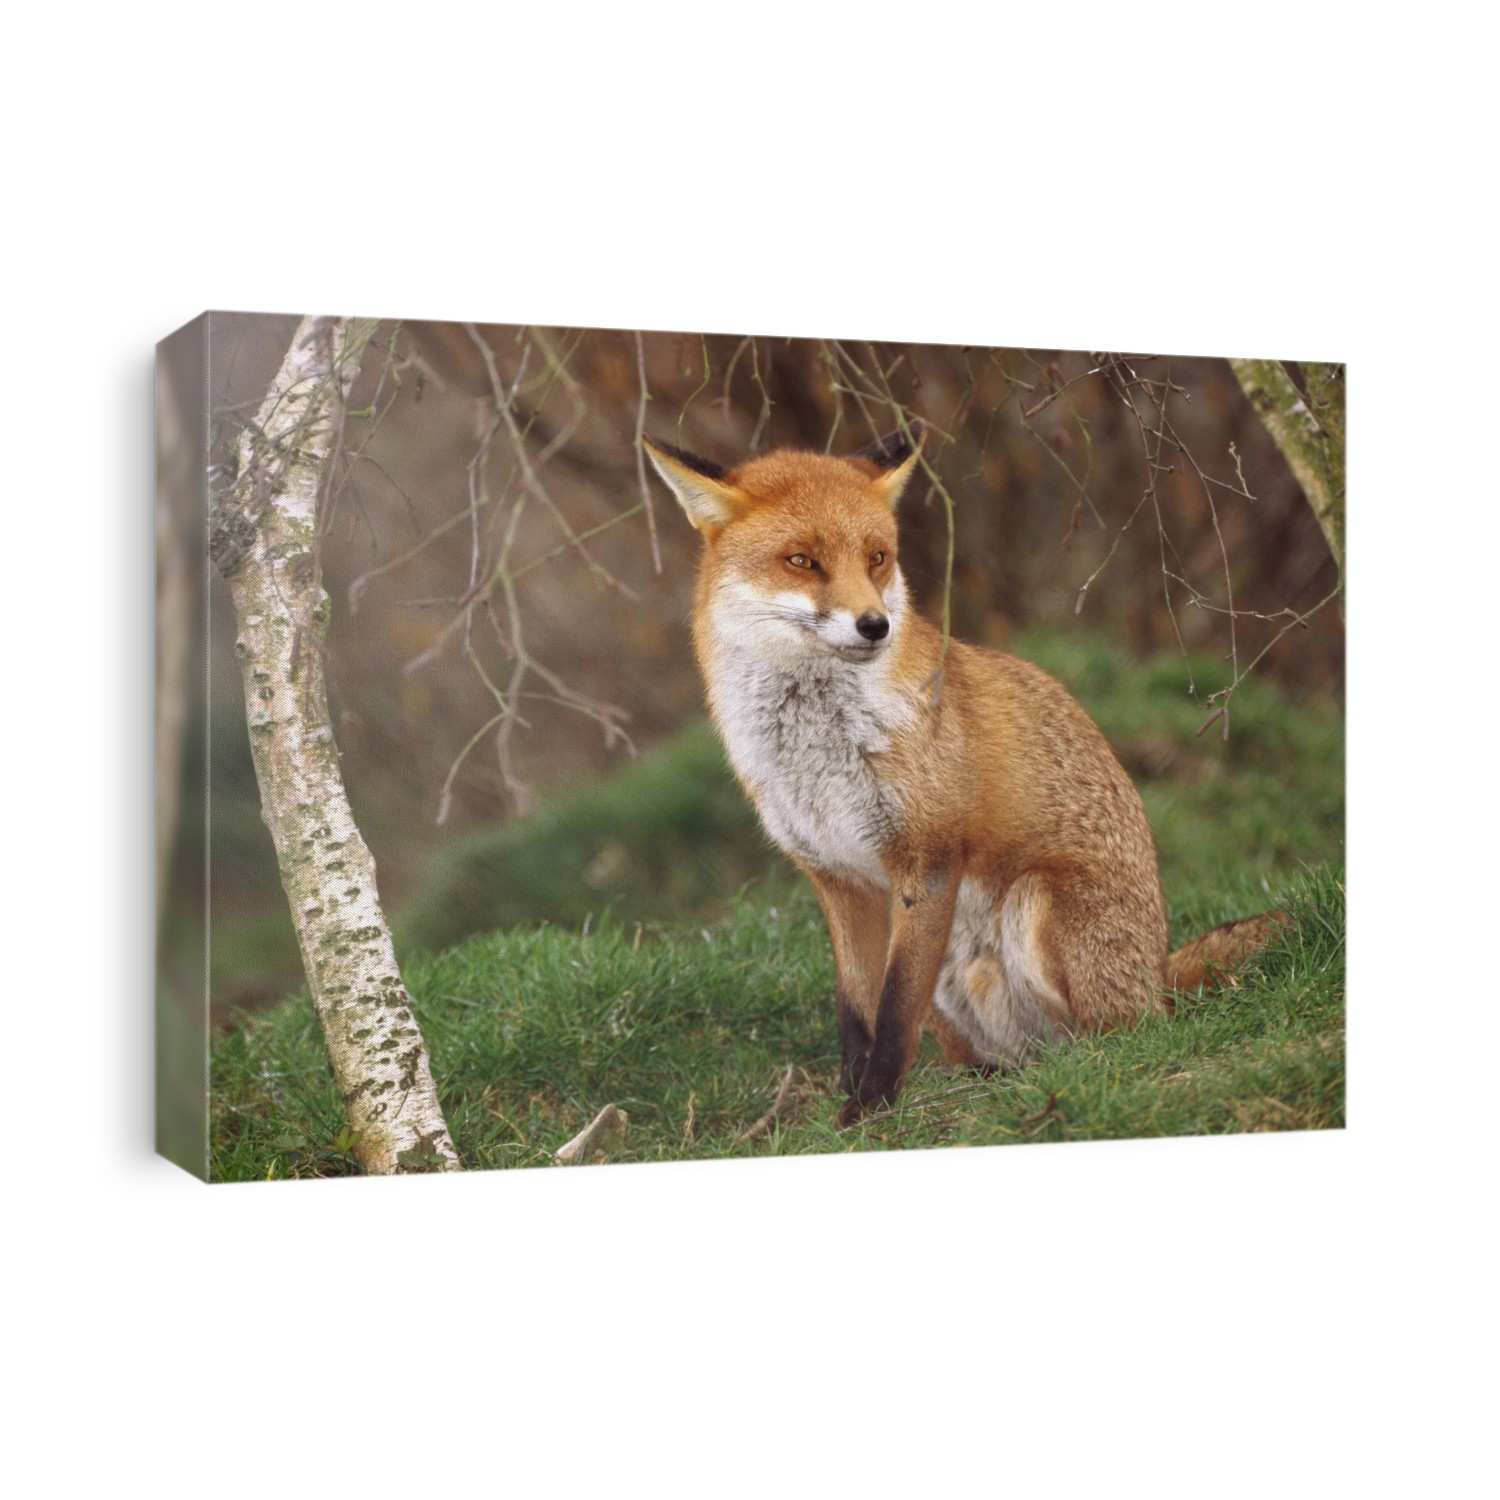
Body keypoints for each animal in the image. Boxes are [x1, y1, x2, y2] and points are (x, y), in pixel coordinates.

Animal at [644, 421, 1280, 1126]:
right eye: (802, 561)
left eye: (877, 558)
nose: (875, 625)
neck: (817, 751)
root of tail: (1159, 975)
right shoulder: (838, 877)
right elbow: (855, 1011)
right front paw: (850, 1103)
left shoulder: (927, 861)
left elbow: (894, 1012)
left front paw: (870, 1111)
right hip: (955, 974)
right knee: (1009, 1053)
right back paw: (994, 1080)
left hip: (1035, 907)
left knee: (1120, 1035)